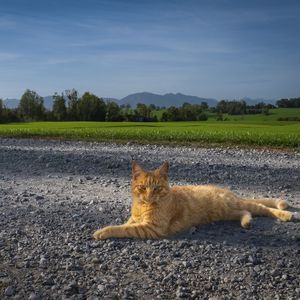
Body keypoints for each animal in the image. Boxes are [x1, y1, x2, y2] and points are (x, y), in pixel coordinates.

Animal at [92, 161, 294, 240]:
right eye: (142, 188)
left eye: (157, 188)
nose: (149, 196)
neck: (142, 207)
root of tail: (228, 191)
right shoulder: (135, 220)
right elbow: (126, 223)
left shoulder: (152, 228)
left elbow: (122, 228)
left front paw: (103, 232)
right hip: (227, 212)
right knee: (247, 212)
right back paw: (246, 222)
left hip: (233, 205)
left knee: (261, 207)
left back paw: (285, 214)